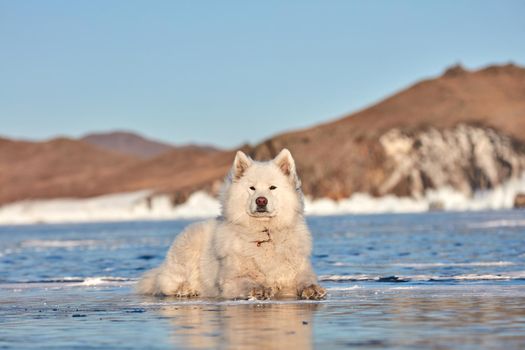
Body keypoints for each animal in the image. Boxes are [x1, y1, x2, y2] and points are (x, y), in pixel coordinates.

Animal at [136, 149, 324, 300]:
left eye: (272, 187)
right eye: (252, 188)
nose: (261, 200)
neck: (264, 232)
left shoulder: (296, 270)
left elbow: (305, 280)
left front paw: (312, 289)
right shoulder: (232, 278)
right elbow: (248, 282)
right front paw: (259, 290)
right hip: (188, 246)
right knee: (166, 283)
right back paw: (186, 289)